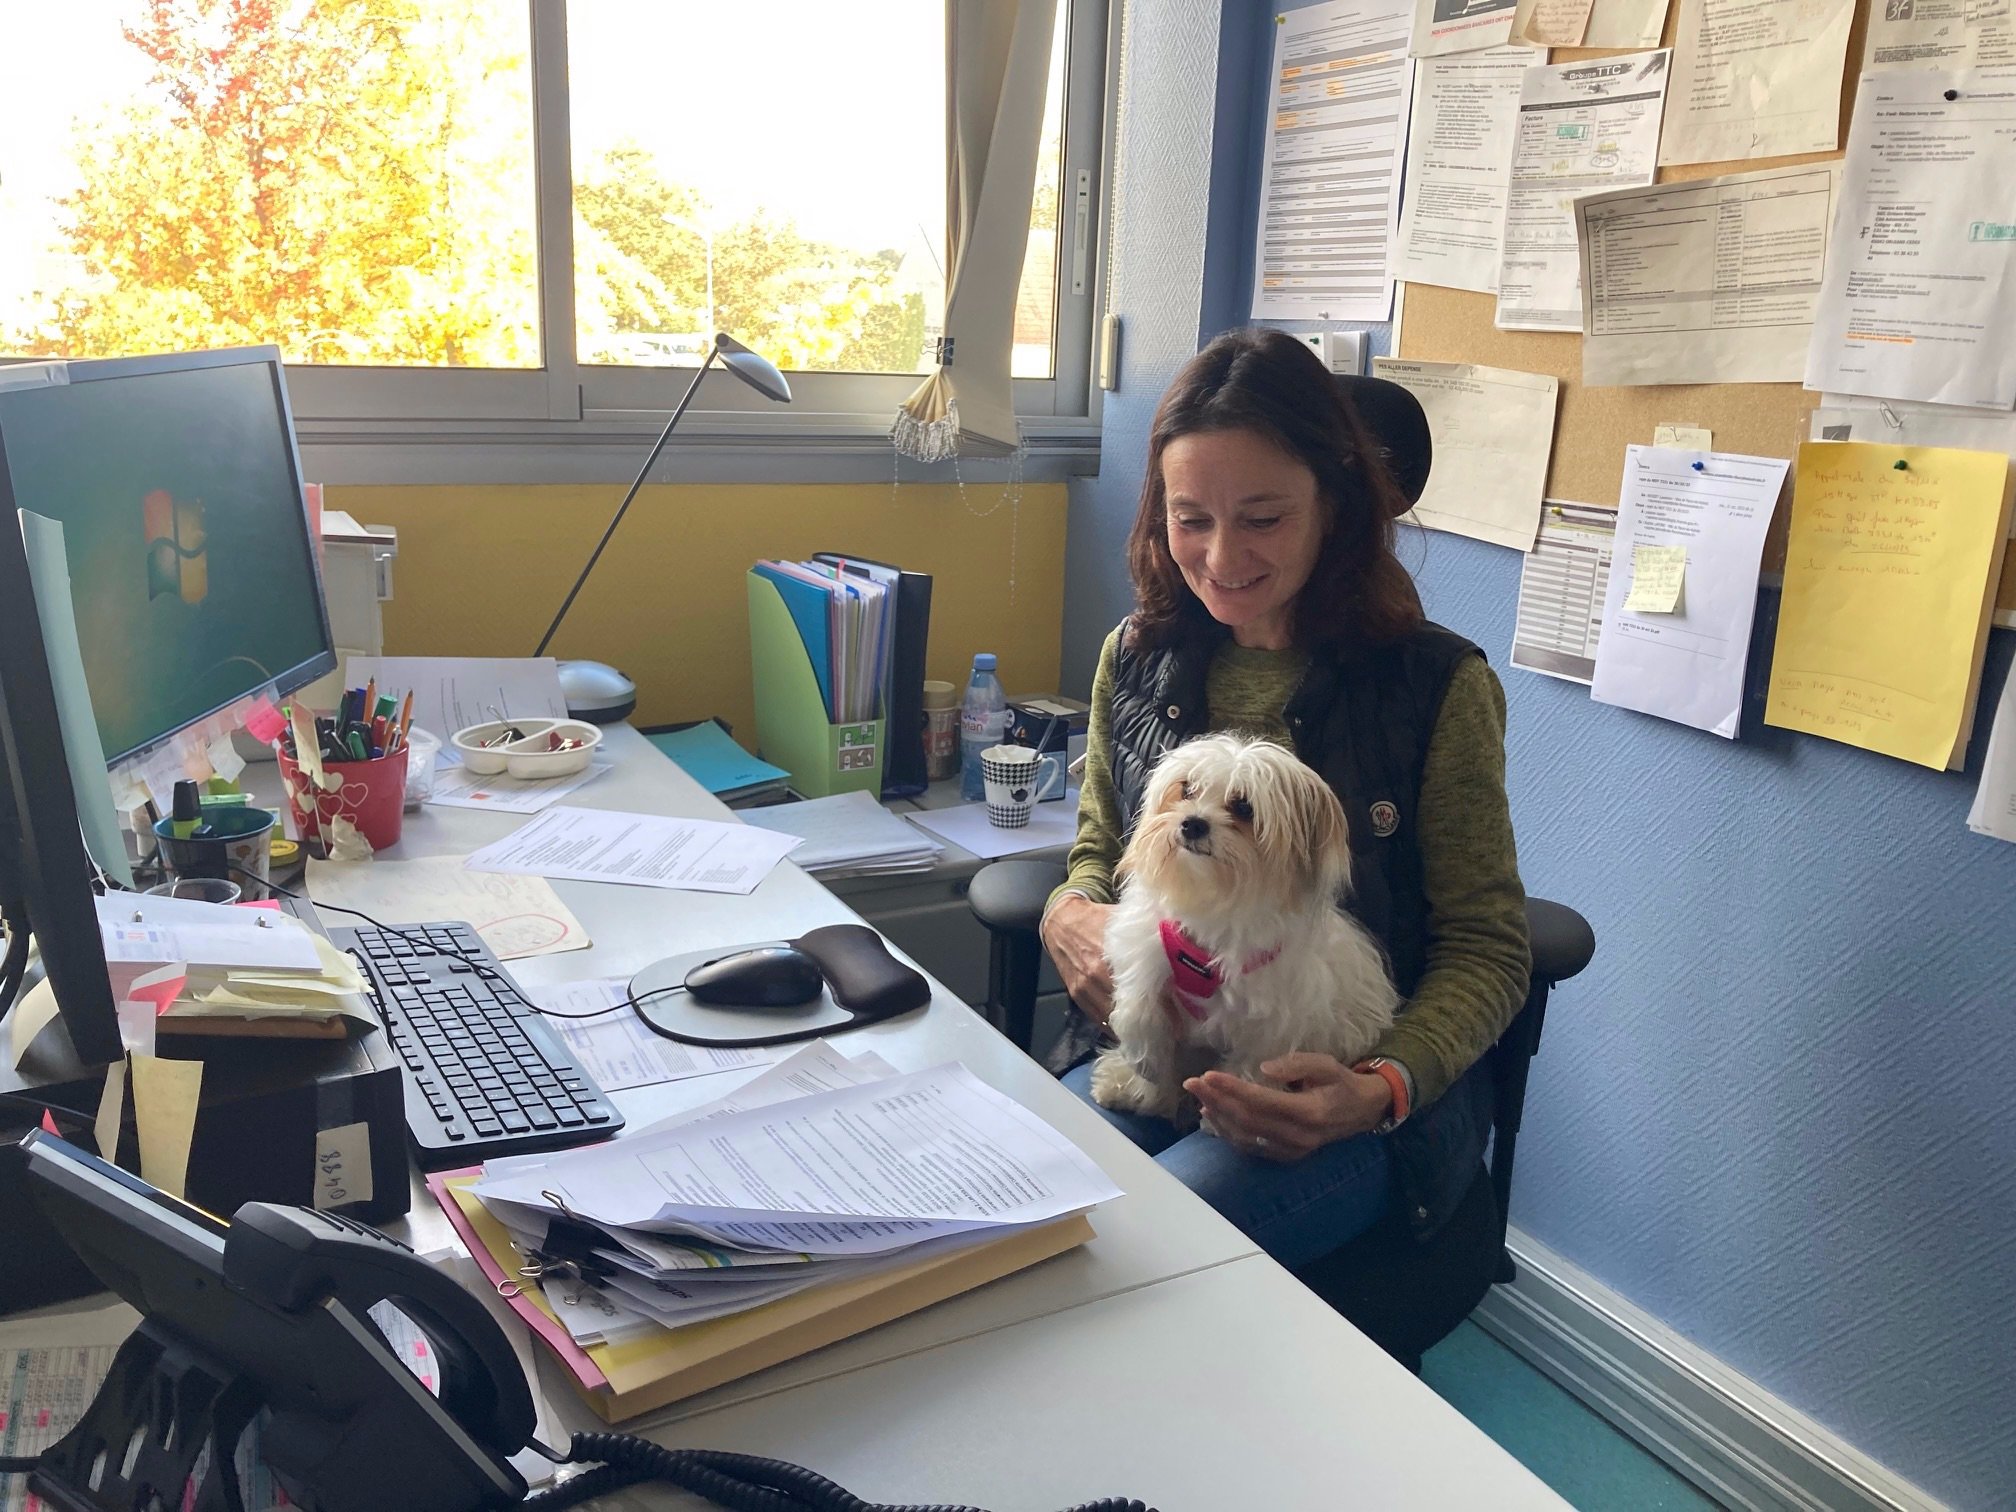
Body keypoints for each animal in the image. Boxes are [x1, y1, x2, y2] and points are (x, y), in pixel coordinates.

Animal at [1096, 733, 1395, 1137]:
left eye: (1243, 807)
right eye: (1186, 789)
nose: (1192, 824)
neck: (1213, 901)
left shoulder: (1273, 1023)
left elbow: (1250, 1067)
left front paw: (1223, 1119)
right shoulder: (1146, 952)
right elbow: (1139, 1014)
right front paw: (1143, 1070)